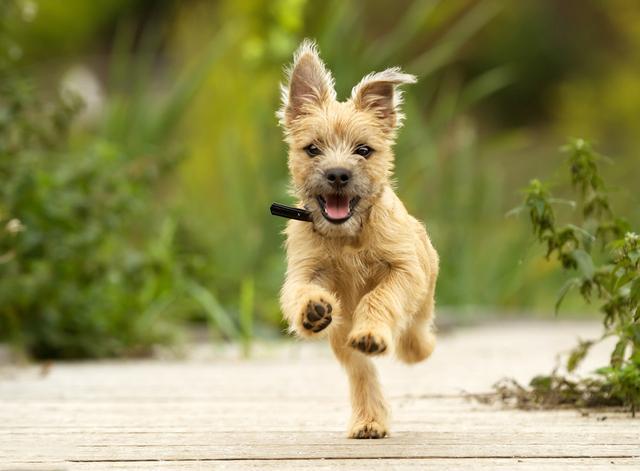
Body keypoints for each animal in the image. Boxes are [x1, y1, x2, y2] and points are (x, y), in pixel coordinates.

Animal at [278, 39, 438, 438]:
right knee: (361, 371)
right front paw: (312, 309)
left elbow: (379, 298)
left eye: (363, 150)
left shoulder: (404, 270)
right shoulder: (304, 271)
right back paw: (369, 419)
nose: (338, 174)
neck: (347, 237)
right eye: (313, 149)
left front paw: (375, 330)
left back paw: (410, 346)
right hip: (341, 338)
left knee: (415, 333)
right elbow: (300, 291)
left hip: (423, 294)